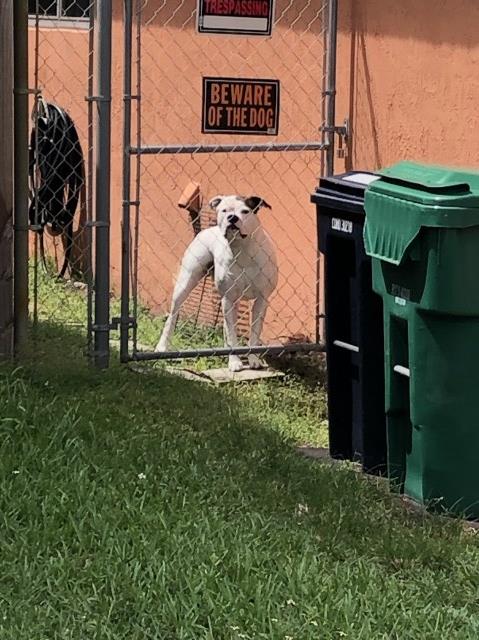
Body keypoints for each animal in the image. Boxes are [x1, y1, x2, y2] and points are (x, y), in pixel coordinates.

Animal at [156, 194, 280, 370]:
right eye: (224, 210)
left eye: (245, 211)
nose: (232, 218)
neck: (243, 249)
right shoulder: (228, 298)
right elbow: (231, 332)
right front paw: (234, 362)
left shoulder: (261, 300)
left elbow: (254, 332)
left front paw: (253, 359)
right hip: (186, 283)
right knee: (172, 316)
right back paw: (162, 346)